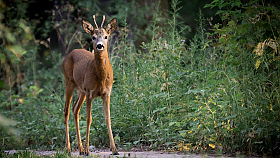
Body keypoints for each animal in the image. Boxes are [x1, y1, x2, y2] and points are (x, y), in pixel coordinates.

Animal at [63, 14, 118, 156]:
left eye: (106, 36)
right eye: (93, 37)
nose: (99, 45)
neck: (101, 78)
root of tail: (69, 54)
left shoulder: (107, 92)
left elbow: (108, 118)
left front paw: (114, 149)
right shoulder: (90, 92)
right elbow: (89, 119)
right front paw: (88, 150)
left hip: (81, 90)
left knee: (75, 109)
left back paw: (80, 149)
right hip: (69, 82)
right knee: (66, 111)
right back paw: (69, 148)